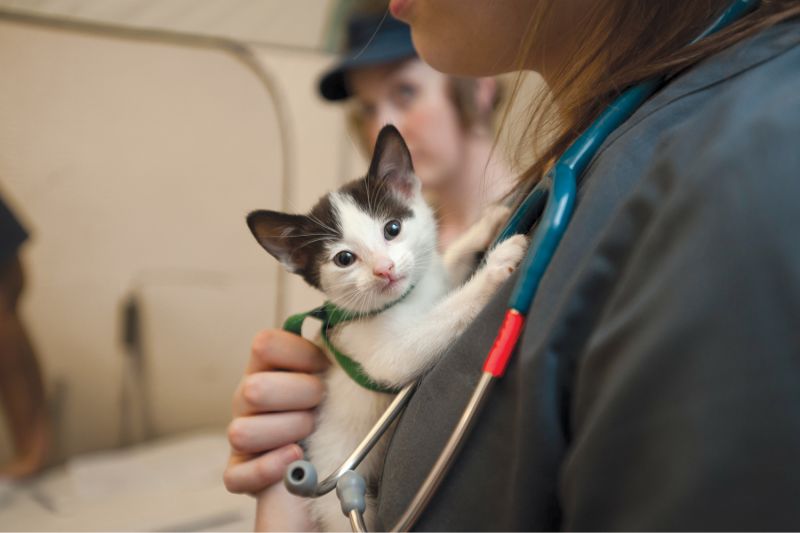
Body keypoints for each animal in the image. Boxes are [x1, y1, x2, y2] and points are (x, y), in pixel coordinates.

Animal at [248, 123, 524, 528]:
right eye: (344, 259)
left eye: (392, 228)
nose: (385, 269)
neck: (405, 299)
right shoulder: (374, 350)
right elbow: (430, 328)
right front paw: (497, 264)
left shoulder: (430, 279)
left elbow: (445, 267)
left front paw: (482, 226)